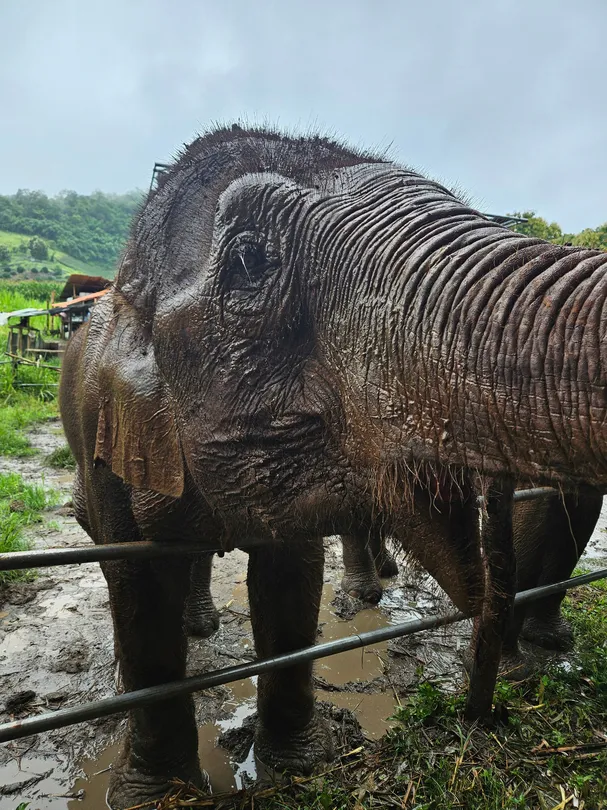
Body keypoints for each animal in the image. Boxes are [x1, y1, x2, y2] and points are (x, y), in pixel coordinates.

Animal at [59, 125, 607, 808]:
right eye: (249, 261)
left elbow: (291, 575)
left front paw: (298, 765)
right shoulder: (101, 436)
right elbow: (136, 582)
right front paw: (153, 793)